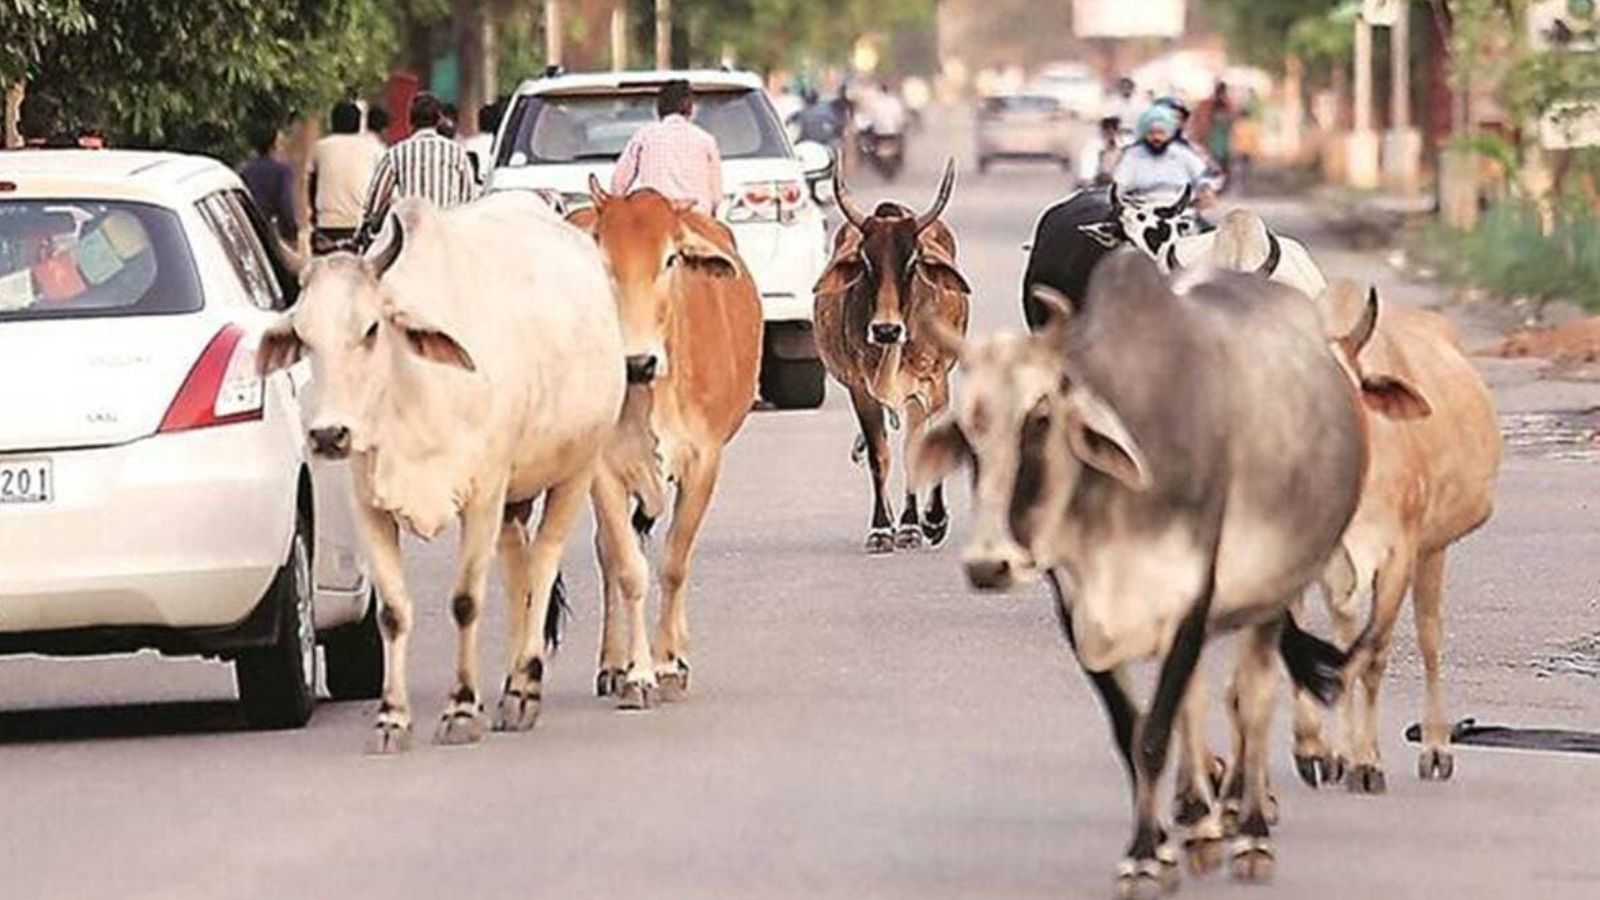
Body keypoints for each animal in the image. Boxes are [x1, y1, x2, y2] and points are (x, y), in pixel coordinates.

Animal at [256, 193, 627, 752]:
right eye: (303, 336)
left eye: (371, 329)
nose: (328, 434)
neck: (415, 393)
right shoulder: (368, 505)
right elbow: (392, 612)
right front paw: (391, 718)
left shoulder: (484, 495)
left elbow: (466, 601)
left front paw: (461, 710)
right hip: (515, 499)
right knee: (518, 573)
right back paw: (510, 686)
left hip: (577, 468)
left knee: (542, 566)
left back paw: (524, 688)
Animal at [568, 178, 763, 707]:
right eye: (601, 255)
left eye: (671, 258)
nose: (637, 362)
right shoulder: (603, 470)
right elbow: (628, 568)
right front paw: (636, 673)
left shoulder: (705, 462)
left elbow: (675, 563)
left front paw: (668, 664)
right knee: (608, 553)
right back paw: (612, 664)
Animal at [814, 159, 972, 553]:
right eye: (866, 262)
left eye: (912, 262)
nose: (886, 330)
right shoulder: (860, 389)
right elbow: (879, 456)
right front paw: (882, 528)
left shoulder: (931, 385)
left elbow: (917, 449)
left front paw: (924, 523)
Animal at [914, 252, 1378, 896]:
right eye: (966, 431)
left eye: (1040, 416)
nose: (989, 564)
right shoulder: (1079, 609)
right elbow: (1132, 729)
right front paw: (1157, 846)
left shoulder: (1192, 596)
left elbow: (1155, 735)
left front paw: (1142, 856)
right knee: (1197, 700)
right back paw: (1203, 824)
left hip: (1274, 591)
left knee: (1253, 699)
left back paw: (1251, 833)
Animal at [1290, 281, 1501, 793]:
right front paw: (1319, 752)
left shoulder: (1398, 555)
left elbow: (1374, 656)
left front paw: (1368, 763)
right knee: (1346, 637)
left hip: (1432, 549)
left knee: (1428, 639)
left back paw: (1436, 748)